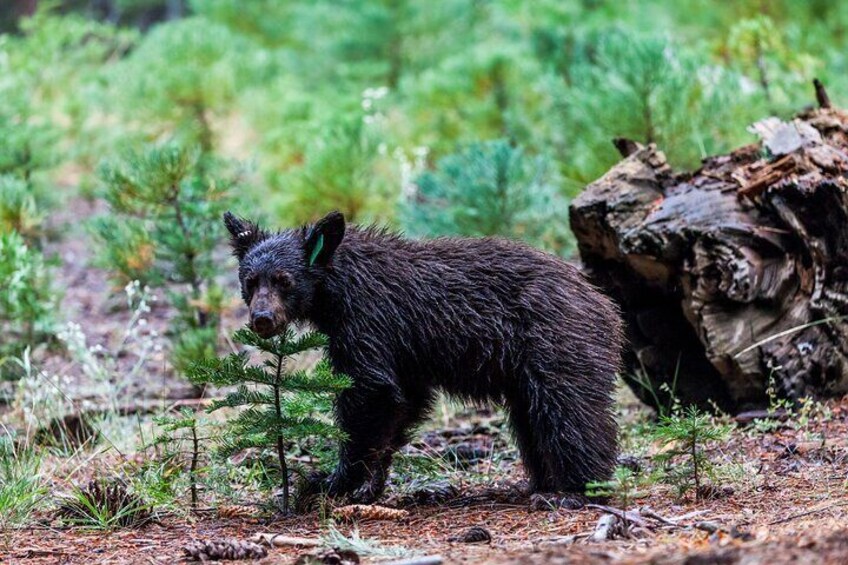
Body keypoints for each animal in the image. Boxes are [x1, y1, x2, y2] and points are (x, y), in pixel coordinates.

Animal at [225, 209, 624, 500]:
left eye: (284, 280)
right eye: (250, 281)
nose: (262, 319)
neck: (337, 289)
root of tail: (604, 304)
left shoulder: (370, 321)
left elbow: (370, 392)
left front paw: (329, 481)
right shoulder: (404, 354)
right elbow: (404, 401)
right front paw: (369, 485)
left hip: (556, 344)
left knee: (570, 412)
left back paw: (578, 488)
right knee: (531, 420)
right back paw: (543, 482)